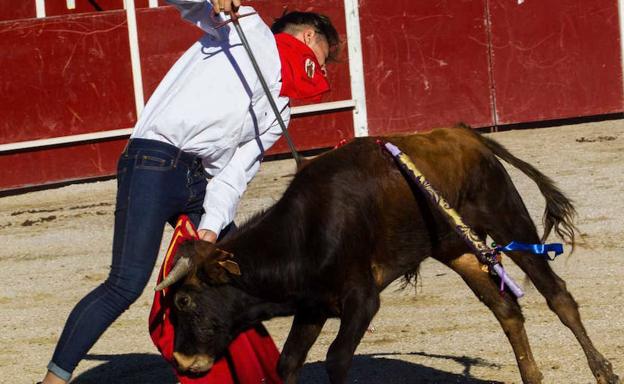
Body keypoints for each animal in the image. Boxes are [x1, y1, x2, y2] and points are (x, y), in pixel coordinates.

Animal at [155, 127, 620, 384]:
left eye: (186, 301)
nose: (183, 361)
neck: (305, 232)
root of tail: (464, 134)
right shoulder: (313, 306)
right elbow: (288, 363)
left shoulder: (362, 300)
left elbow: (336, 359)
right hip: (459, 250)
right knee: (507, 310)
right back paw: (531, 375)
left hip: (508, 218)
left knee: (557, 295)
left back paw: (603, 371)